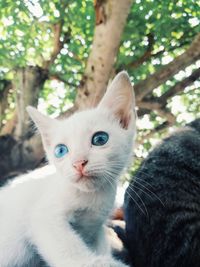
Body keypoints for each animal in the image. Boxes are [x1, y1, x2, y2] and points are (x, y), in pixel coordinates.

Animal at [0, 71, 136, 267]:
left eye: (100, 139)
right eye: (61, 150)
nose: (79, 163)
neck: (93, 197)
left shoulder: (95, 229)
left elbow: (99, 244)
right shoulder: (44, 216)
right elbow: (67, 247)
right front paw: (98, 262)